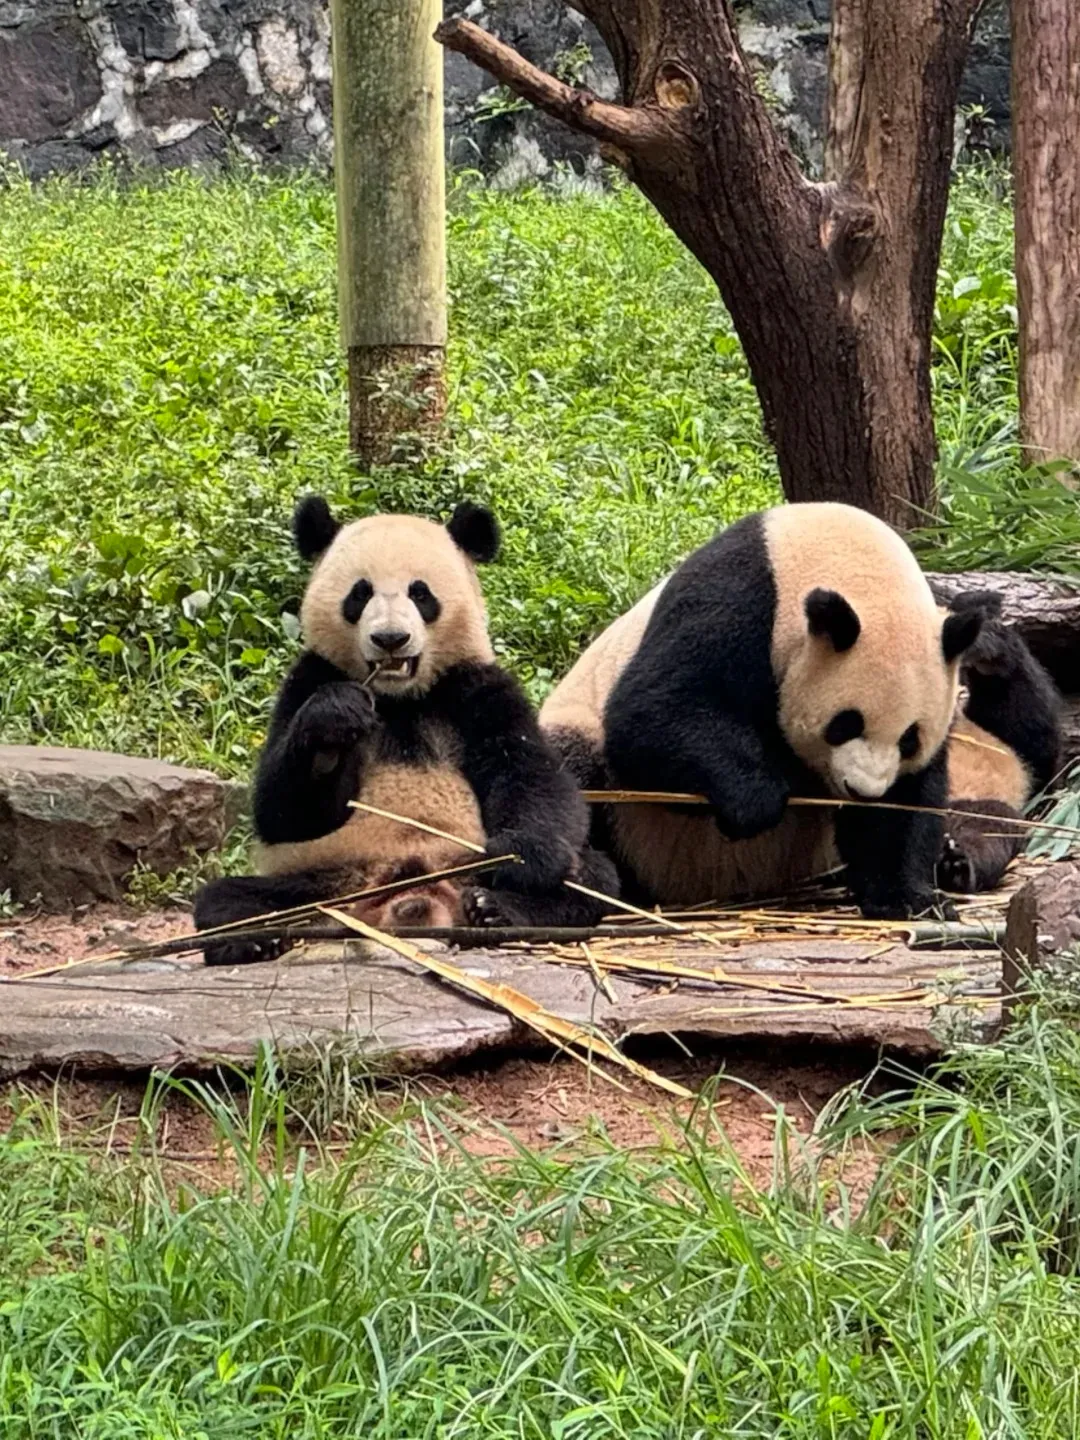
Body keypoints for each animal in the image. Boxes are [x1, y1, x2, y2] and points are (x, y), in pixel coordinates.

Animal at [193, 496, 619, 964]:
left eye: (420, 593)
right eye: (360, 593)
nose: (390, 639)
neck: (399, 698)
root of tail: (412, 899)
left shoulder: (475, 688)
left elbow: (533, 776)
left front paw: (520, 857)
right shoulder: (309, 678)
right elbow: (283, 814)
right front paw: (333, 725)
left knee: (593, 879)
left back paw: (498, 908)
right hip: (322, 882)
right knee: (226, 897)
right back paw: (249, 937)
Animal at [541, 502, 984, 920]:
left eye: (910, 739)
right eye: (845, 724)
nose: (864, 791)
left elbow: (905, 806)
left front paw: (910, 899)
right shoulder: (740, 595)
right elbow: (653, 713)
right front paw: (755, 800)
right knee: (567, 775)